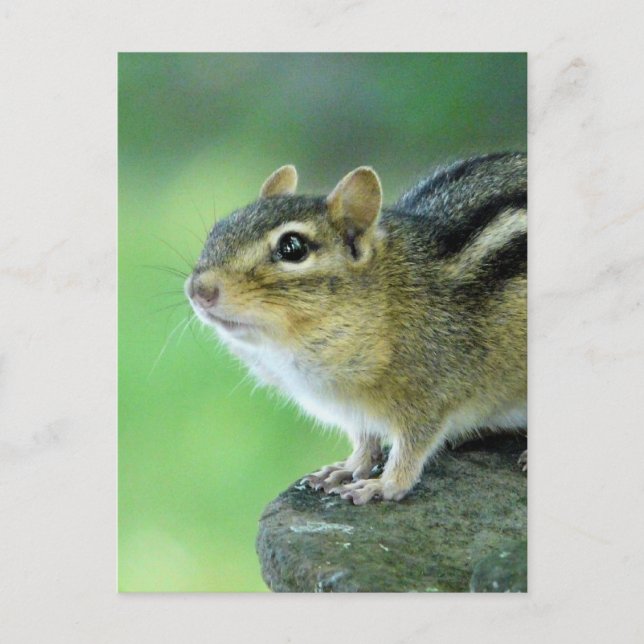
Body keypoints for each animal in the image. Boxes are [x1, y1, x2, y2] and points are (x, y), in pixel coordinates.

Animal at [186, 153, 527, 505]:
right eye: (218, 229)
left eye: (293, 247)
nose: (199, 290)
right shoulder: (355, 412)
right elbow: (365, 442)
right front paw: (348, 468)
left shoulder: (433, 392)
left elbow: (411, 449)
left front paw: (384, 485)